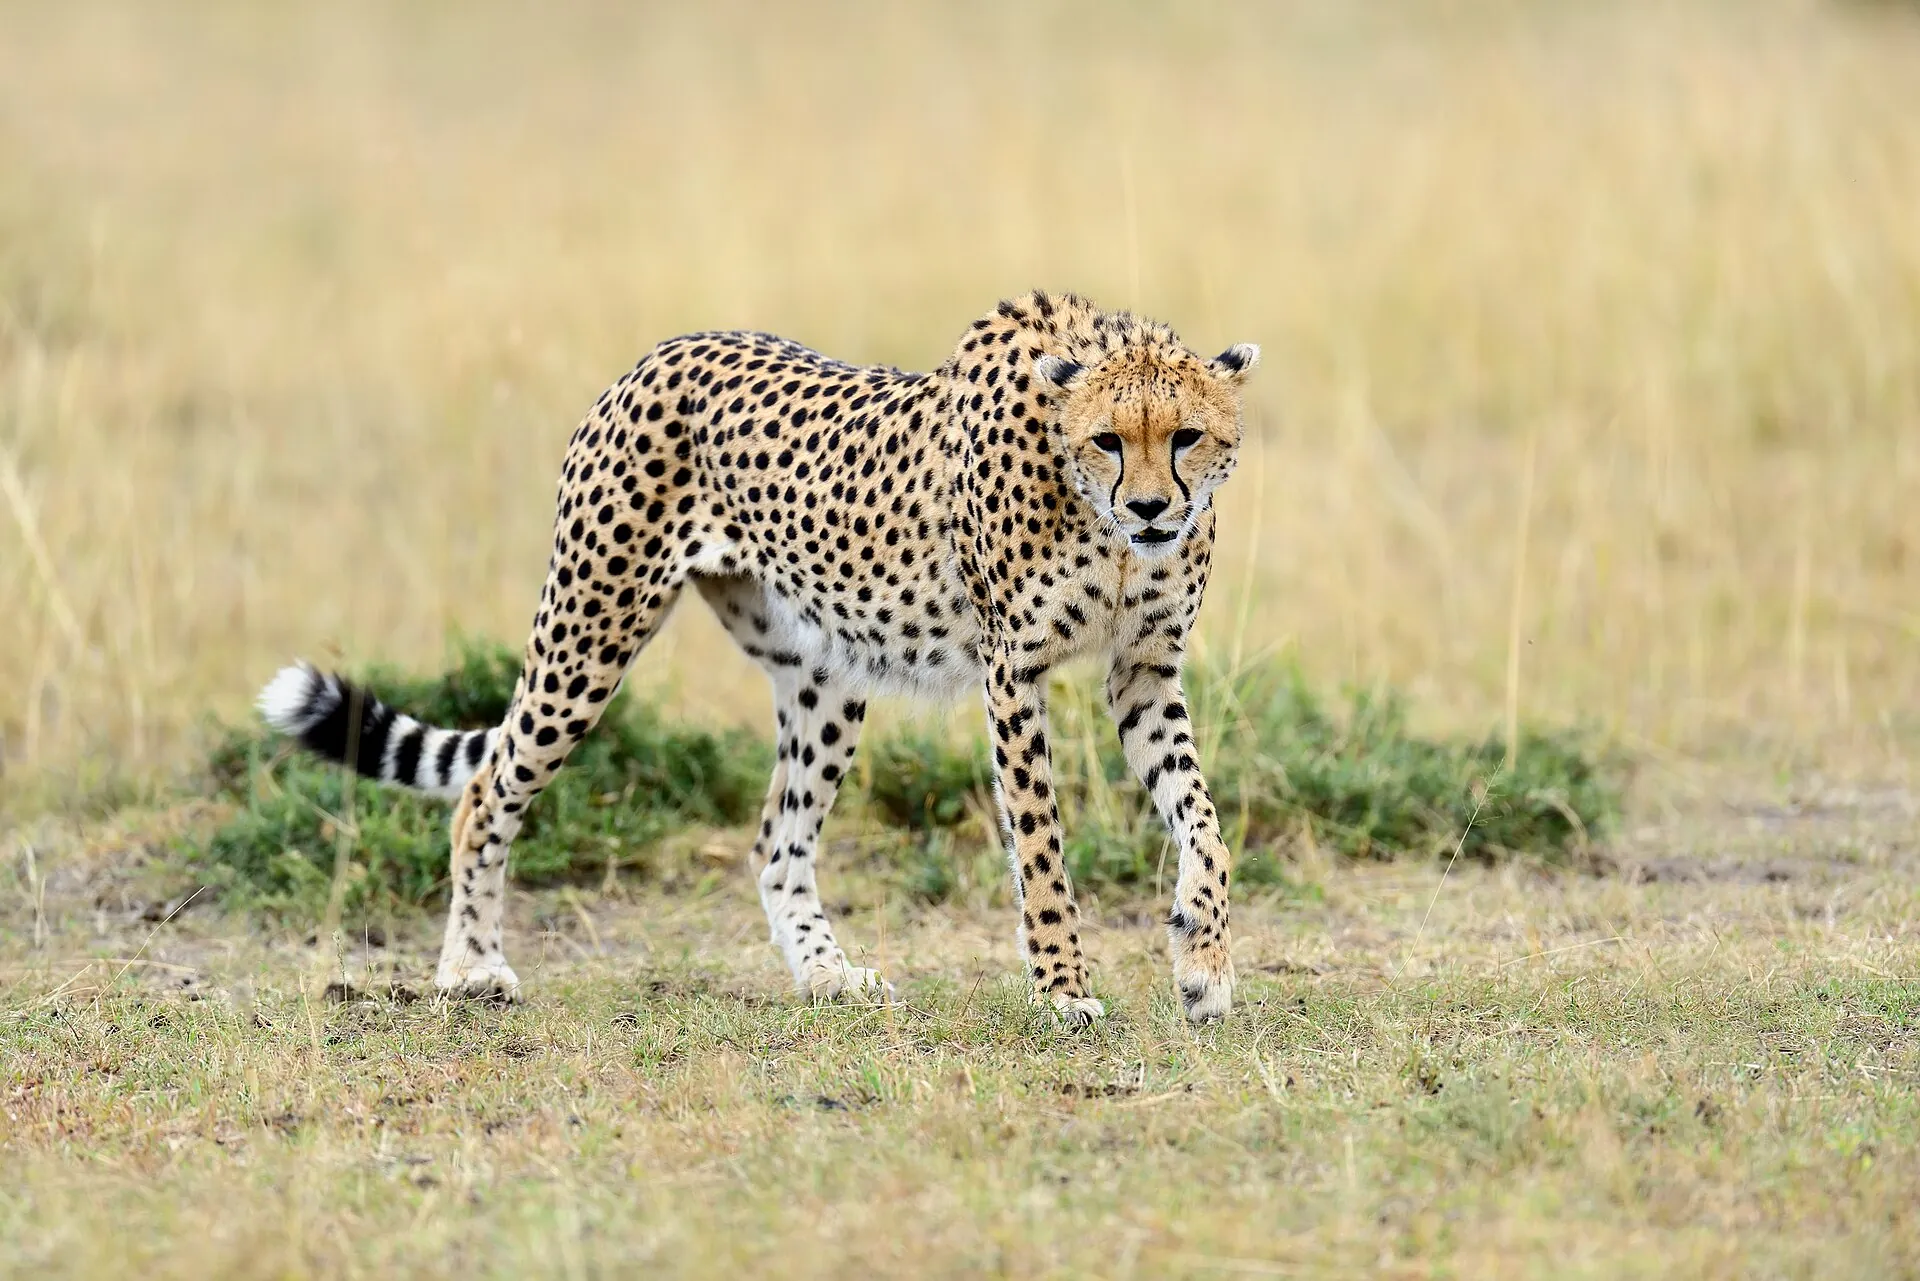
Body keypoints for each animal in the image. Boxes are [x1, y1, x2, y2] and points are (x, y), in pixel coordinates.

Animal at [257, 289, 1259, 1026]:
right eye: (1108, 440)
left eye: (1186, 435)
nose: (1152, 509)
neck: (1104, 526)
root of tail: (664, 348)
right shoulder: (1013, 673)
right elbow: (1043, 845)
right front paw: (1062, 988)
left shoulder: (1144, 670)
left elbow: (1204, 818)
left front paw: (1203, 961)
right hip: (590, 630)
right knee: (485, 787)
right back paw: (471, 967)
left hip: (824, 672)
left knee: (777, 836)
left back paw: (827, 976)